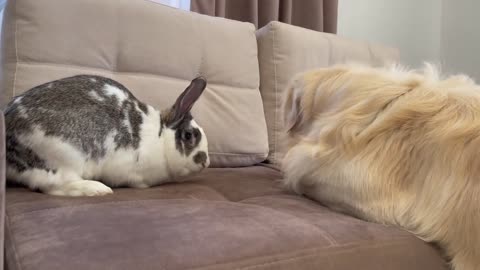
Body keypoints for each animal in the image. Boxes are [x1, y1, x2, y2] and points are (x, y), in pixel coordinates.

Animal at [3, 75, 210, 197]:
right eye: (189, 135)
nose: (205, 162)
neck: (159, 136)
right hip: (63, 156)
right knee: (53, 186)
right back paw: (97, 189)